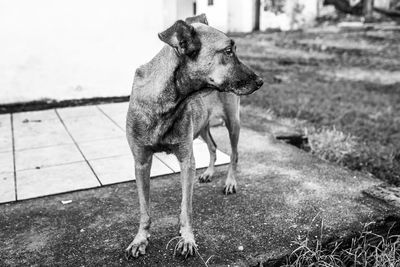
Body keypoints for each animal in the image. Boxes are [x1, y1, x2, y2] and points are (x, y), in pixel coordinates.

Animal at [125, 13, 262, 258]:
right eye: (228, 51)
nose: (260, 81)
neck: (169, 102)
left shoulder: (186, 160)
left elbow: (185, 208)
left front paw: (187, 238)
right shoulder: (141, 162)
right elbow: (144, 209)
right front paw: (140, 239)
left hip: (232, 123)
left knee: (234, 154)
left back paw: (230, 182)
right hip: (201, 128)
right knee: (213, 147)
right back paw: (208, 172)